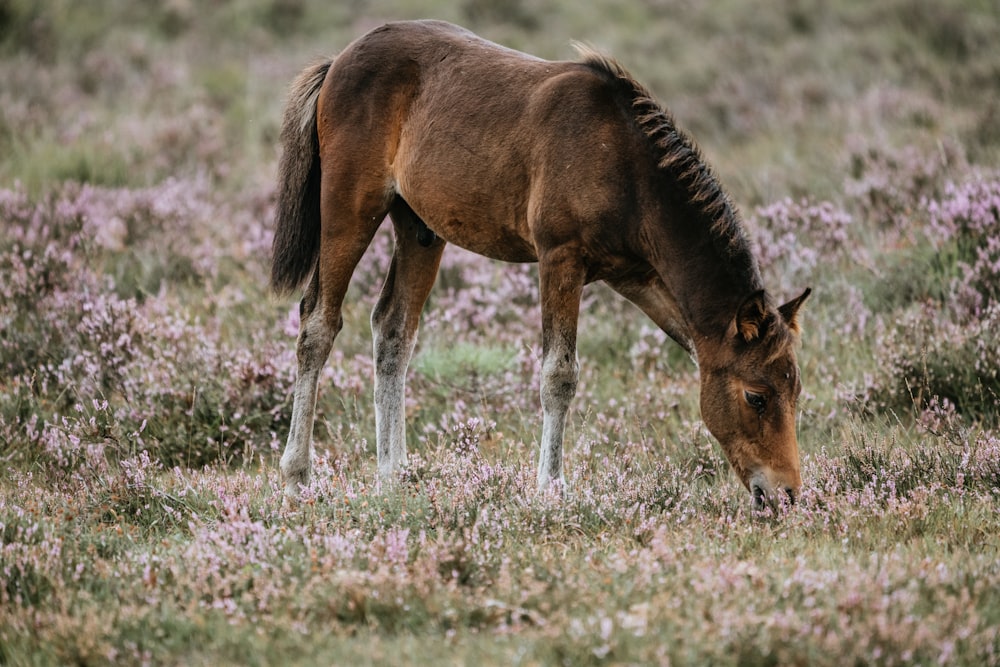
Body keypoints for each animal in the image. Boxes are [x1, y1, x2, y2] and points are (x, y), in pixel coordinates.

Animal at [270, 19, 808, 512]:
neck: (625, 167)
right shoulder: (560, 260)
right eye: (756, 397)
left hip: (419, 228)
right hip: (349, 212)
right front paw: (551, 487)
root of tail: (339, 61)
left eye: (796, 391)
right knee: (318, 325)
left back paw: (393, 476)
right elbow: (559, 375)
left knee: (393, 331)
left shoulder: (639, 278)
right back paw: (297, 476)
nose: (785, 494)